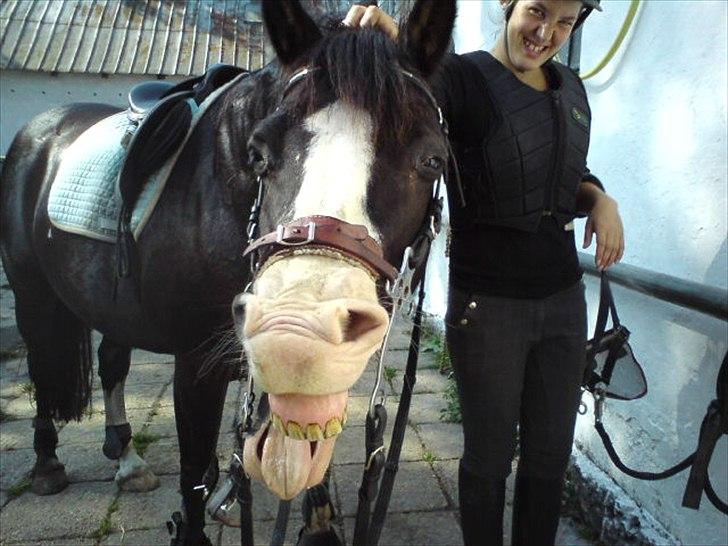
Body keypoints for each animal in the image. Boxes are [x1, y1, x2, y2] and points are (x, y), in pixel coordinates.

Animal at [0, 0, 456, 544]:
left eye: (432, 160)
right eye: (258, 153)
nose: (295, 332)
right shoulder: (197, 363)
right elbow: (195, 472)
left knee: (111, 361)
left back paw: (126, 458)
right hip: (30, 293)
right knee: (40, 365)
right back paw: (47, 463)